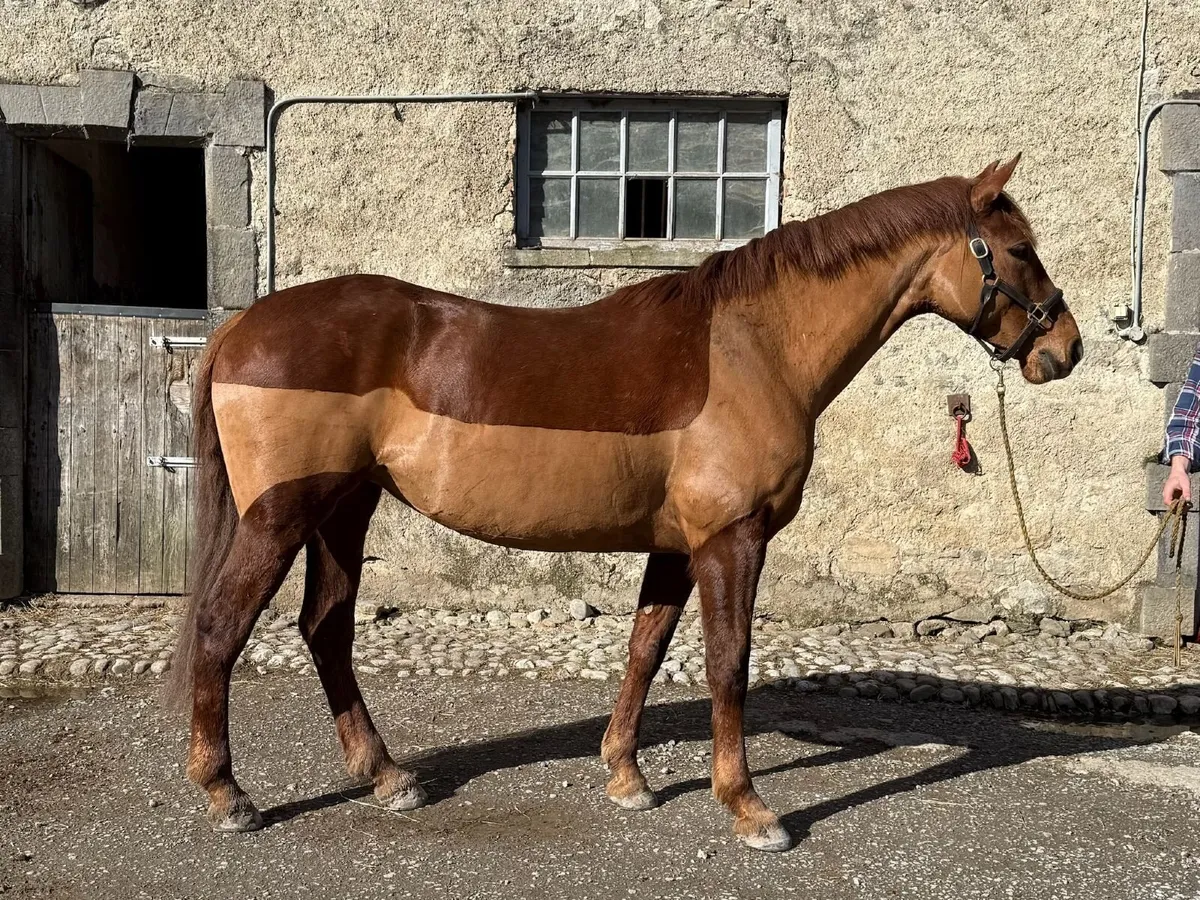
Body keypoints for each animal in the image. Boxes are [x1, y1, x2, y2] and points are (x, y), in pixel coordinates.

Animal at [166, 155, 1082, 852]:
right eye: (1018, 249)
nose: (1066, 351)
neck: (755, 348)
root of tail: (244, 326)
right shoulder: (731, 539)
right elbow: (728, 664)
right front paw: (750, 808)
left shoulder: (677, 545)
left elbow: (645, 650)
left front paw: (626, 775)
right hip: (281, 516)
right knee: (220, 629)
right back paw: (226, 794)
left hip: (344, 510)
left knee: (325, 628)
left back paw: (387, 777)